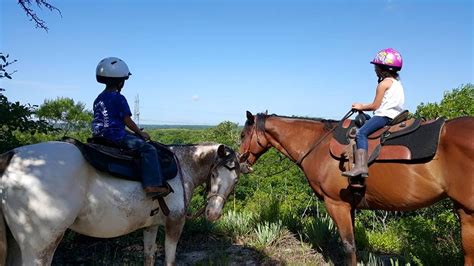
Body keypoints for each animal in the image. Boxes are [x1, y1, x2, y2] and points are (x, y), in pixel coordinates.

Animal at [0, 141, 239, 264]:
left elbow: (149, 256)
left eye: (235, 180)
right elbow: (170, 260)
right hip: (41, 247)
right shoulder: (175, 224)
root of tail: (12, 157)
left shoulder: (151, 226)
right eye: (215, 174)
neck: (182, 167)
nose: (213, 213)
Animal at [239, 110, 474, 264]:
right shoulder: (349, 205)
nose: (240, 163)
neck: (317, 145)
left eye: (242, 135)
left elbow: (348, 245)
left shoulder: (336, 204)